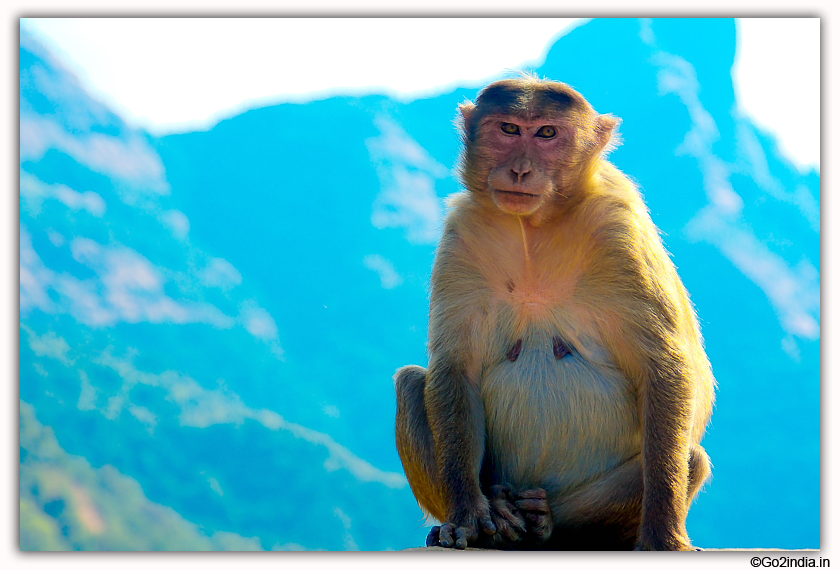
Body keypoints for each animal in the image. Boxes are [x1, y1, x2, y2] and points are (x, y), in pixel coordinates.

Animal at [394, 77, 716, 548]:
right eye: (509, 129)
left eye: (547, 133)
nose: (520, 170)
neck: (535, 228)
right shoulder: (462, 233)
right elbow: (456, 368)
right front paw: (469, 514)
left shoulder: (618, 230)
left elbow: (663, 368)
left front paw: (662, 534)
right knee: (410, 382)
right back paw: (502, 512)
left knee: (691, 458)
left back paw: (545, 521)